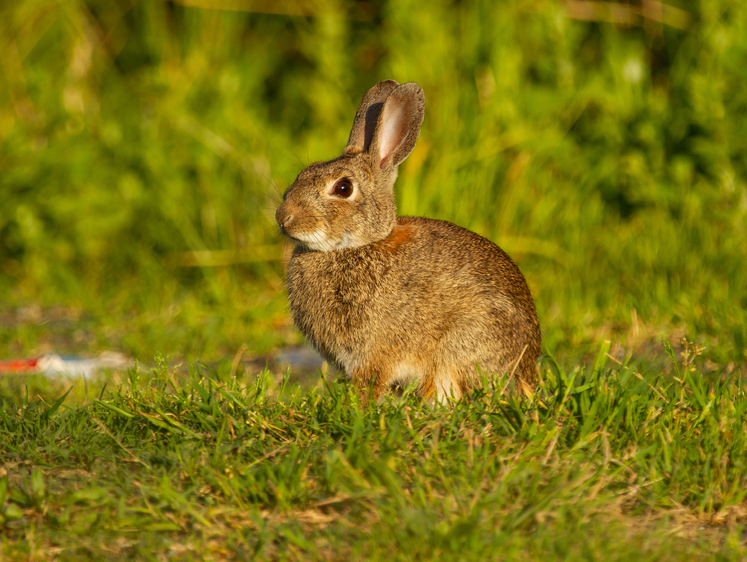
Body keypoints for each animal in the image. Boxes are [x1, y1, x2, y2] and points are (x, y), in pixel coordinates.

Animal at [274, 80, 536, 402]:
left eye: (343, 188)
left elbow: (371, 382)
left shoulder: (375, 353)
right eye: (303, 174)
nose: (283, 217)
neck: (356, 246)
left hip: (463, 344)